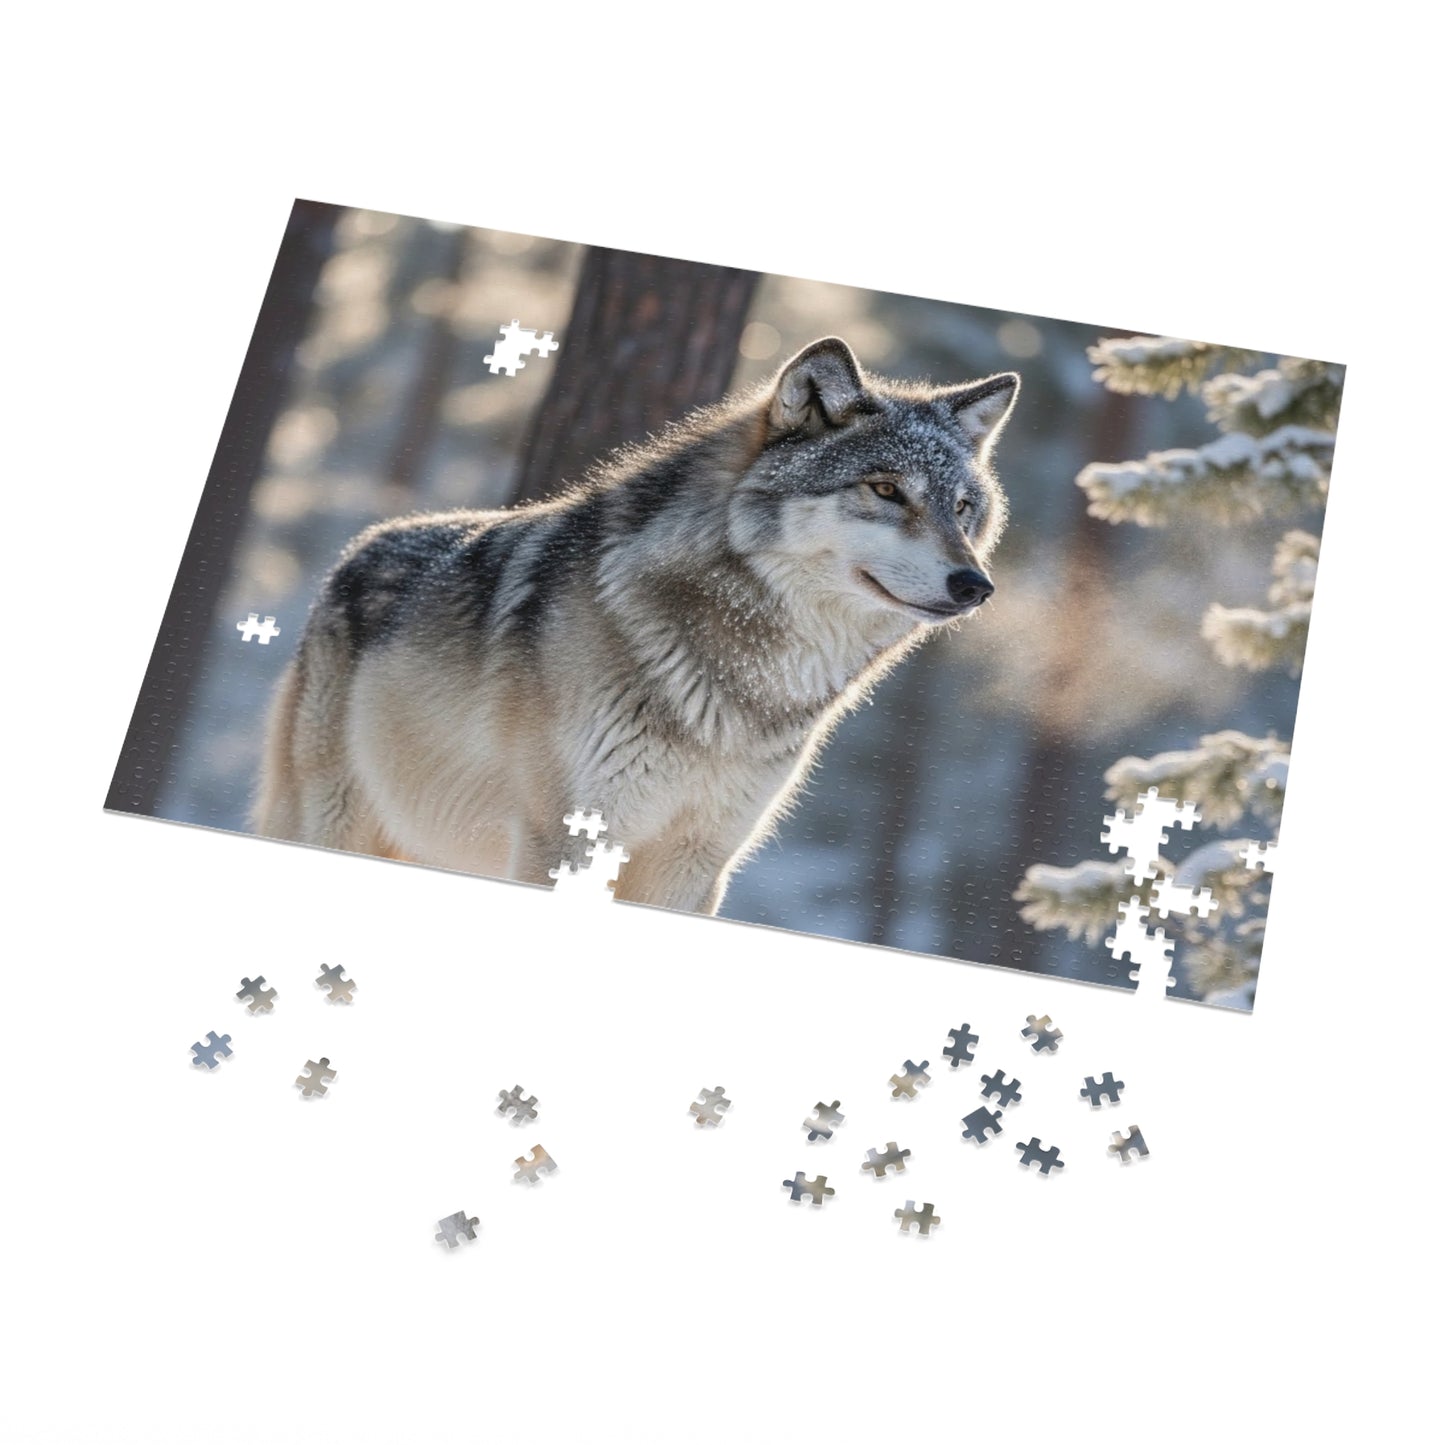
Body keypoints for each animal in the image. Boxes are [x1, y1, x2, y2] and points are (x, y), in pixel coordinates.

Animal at [255, 337, 1018, 913]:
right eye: (885, 490)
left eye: (961, 508)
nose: (976, 586)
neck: (741, 685)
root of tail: (360, 546)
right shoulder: (565, 840)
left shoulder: (693, 862)